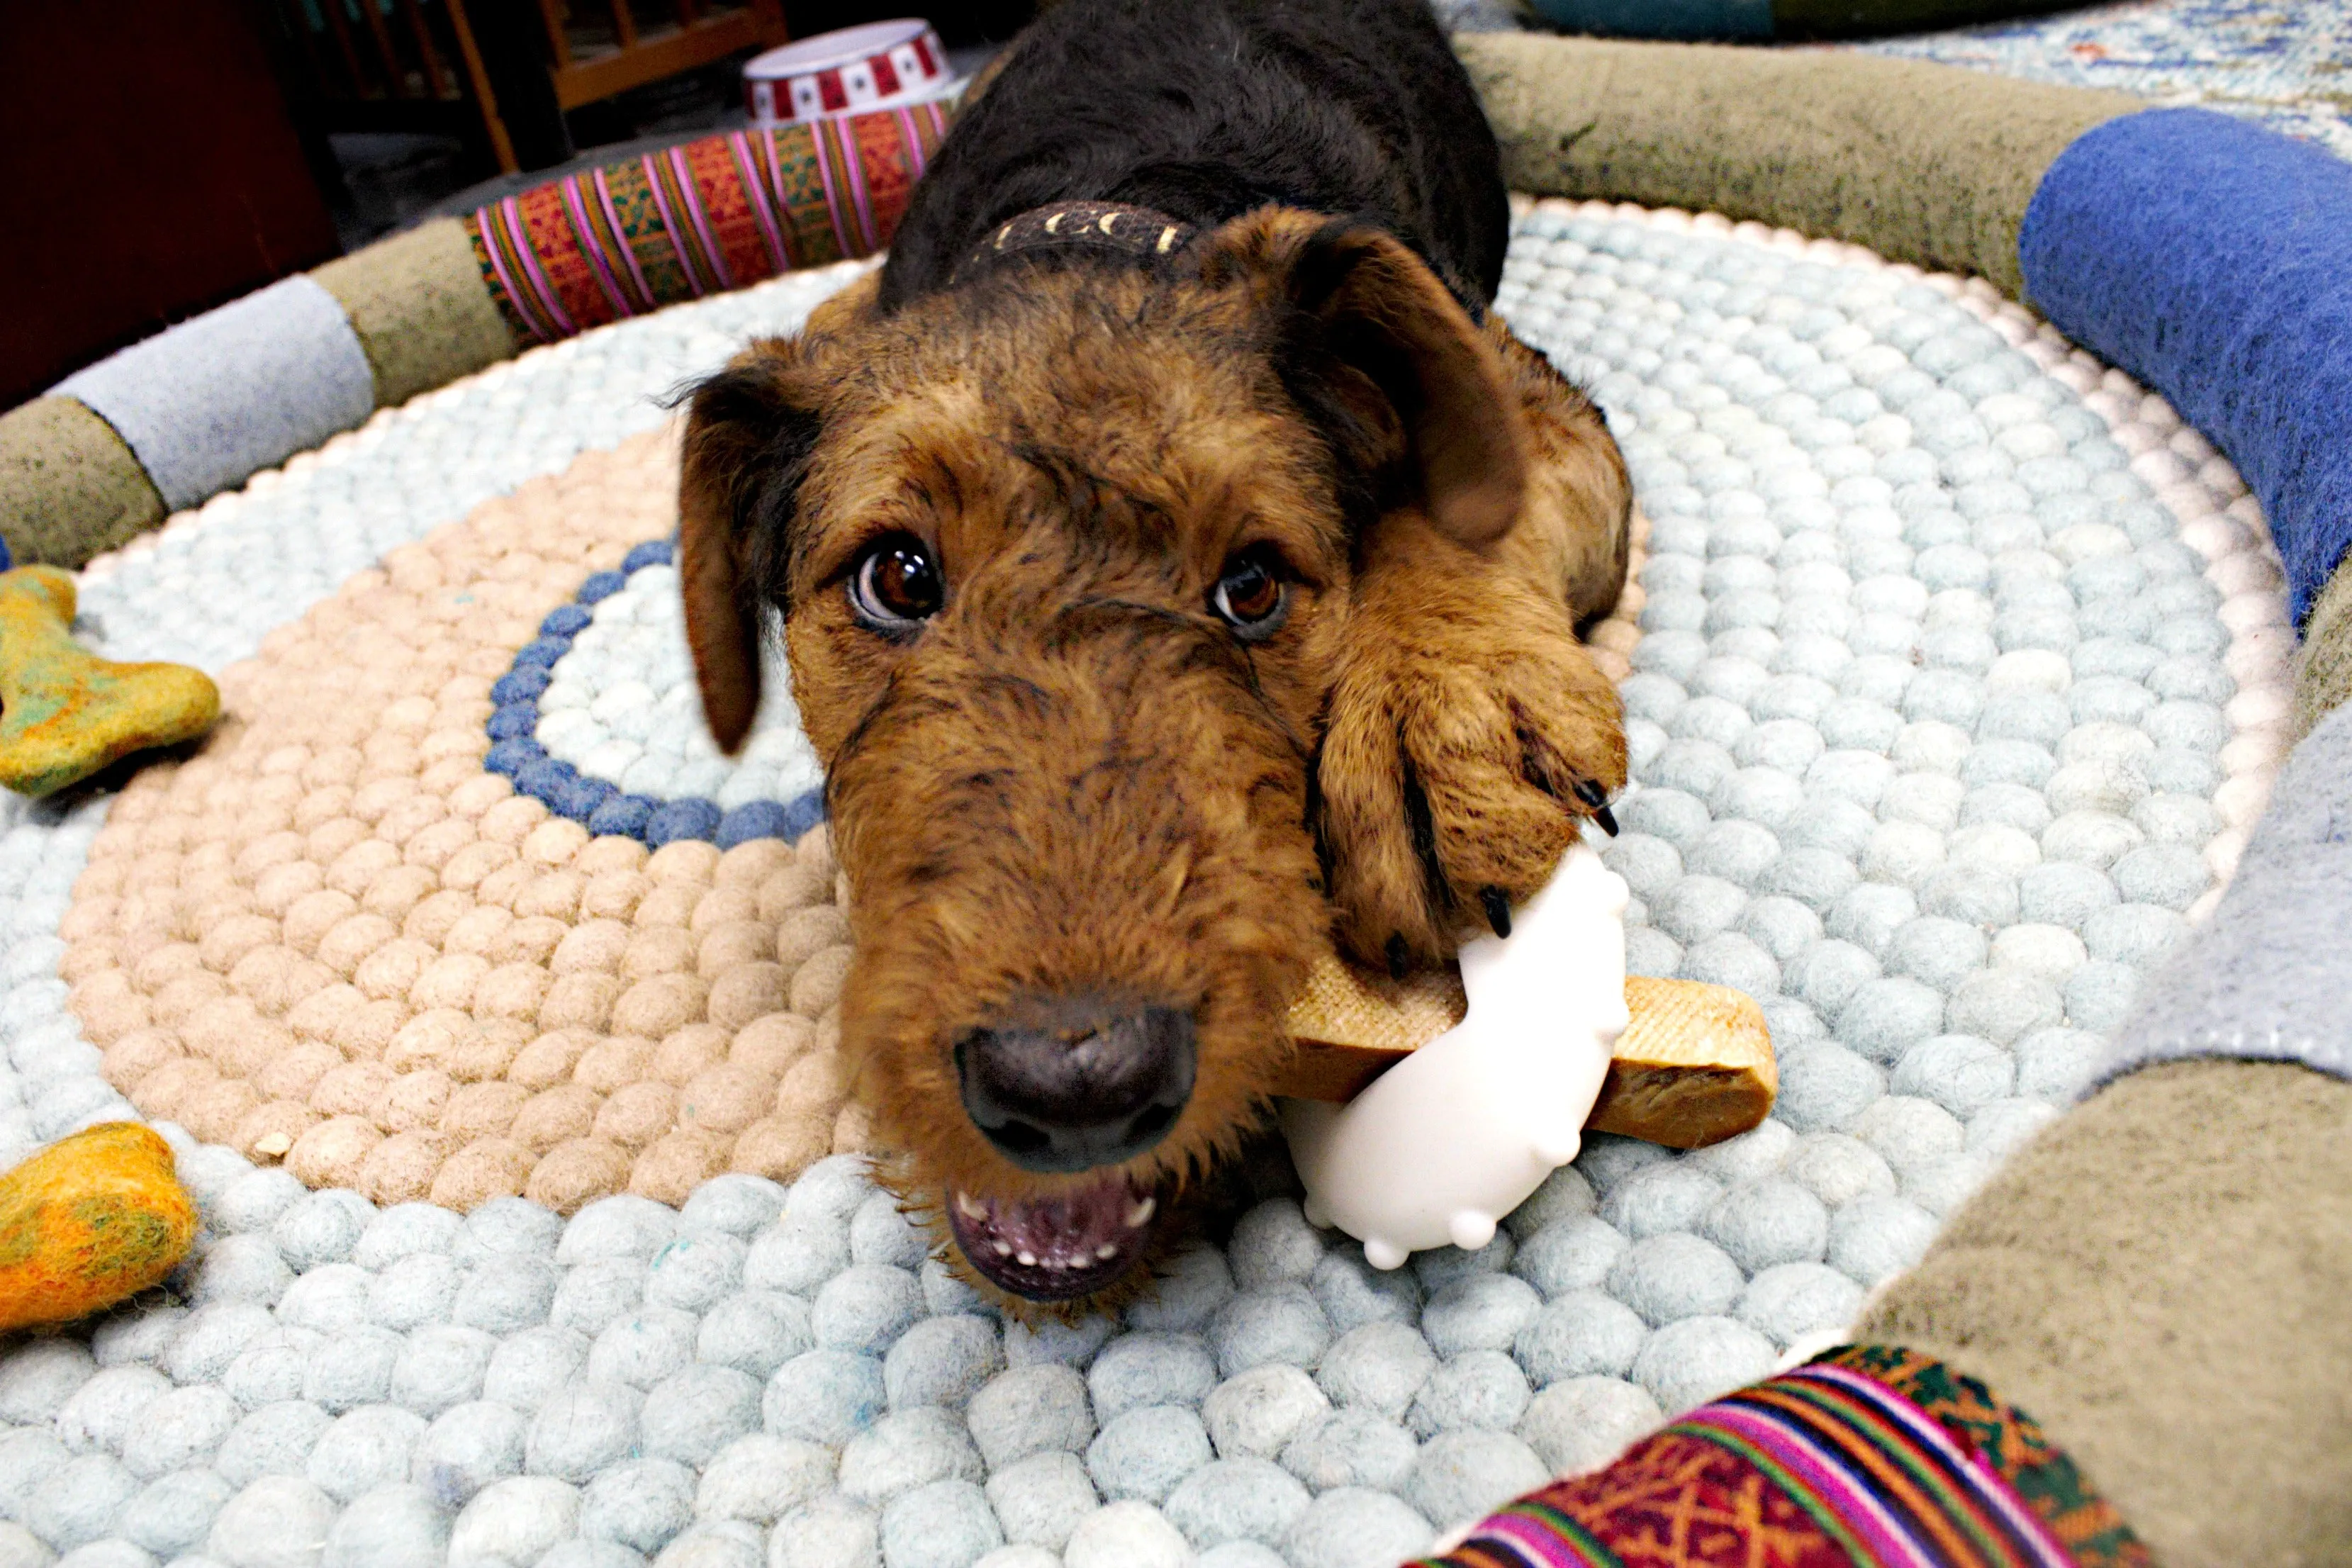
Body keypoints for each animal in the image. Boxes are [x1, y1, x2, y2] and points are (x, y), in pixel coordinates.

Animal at [682, 0, 1628, 1306]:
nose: (1072, 1085)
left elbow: (1461, 502)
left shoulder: (1535, 397)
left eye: (1252, 585)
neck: (1113, 212)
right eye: (897, 578)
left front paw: (1433, 740)